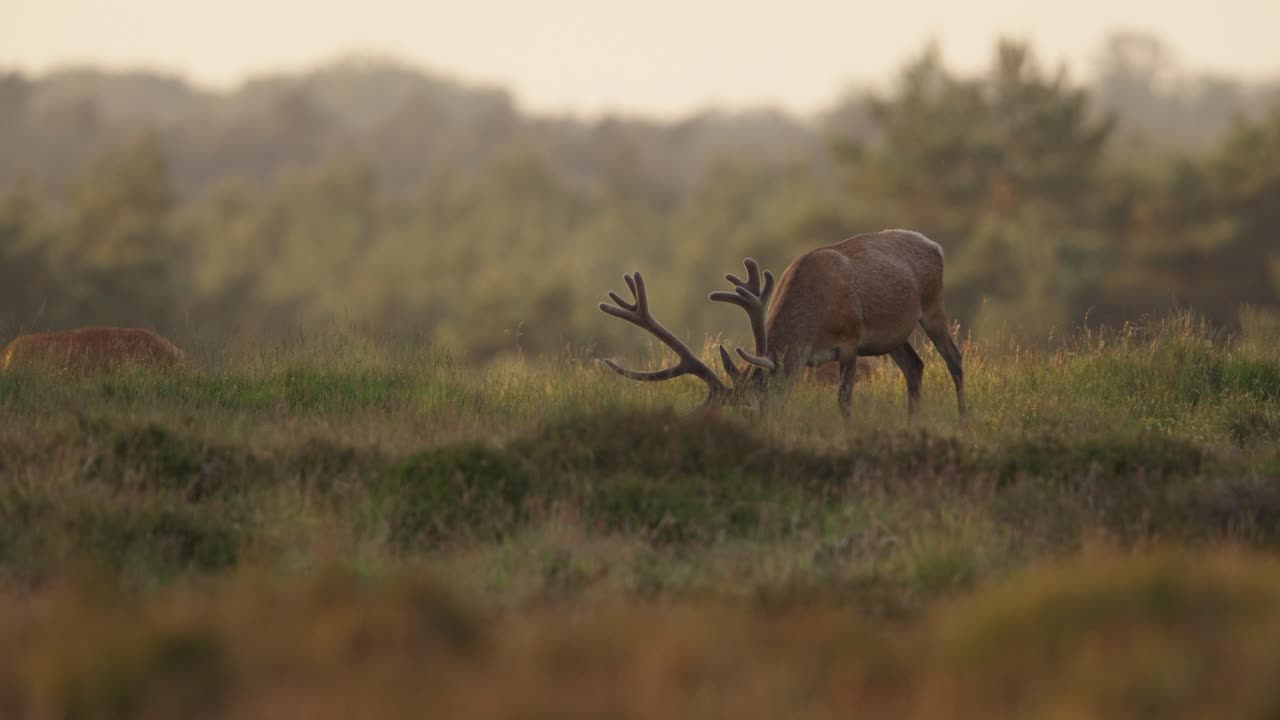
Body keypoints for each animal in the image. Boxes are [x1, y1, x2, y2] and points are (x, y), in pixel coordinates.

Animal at [599, 229, 965, 419]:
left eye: (749, 412)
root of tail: (935, 245)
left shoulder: (850, 339)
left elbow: (844, 401)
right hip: (892, 338)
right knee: (915, 367)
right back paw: (912, 424)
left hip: (933, 305)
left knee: (954, 357)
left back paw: (963, 418)